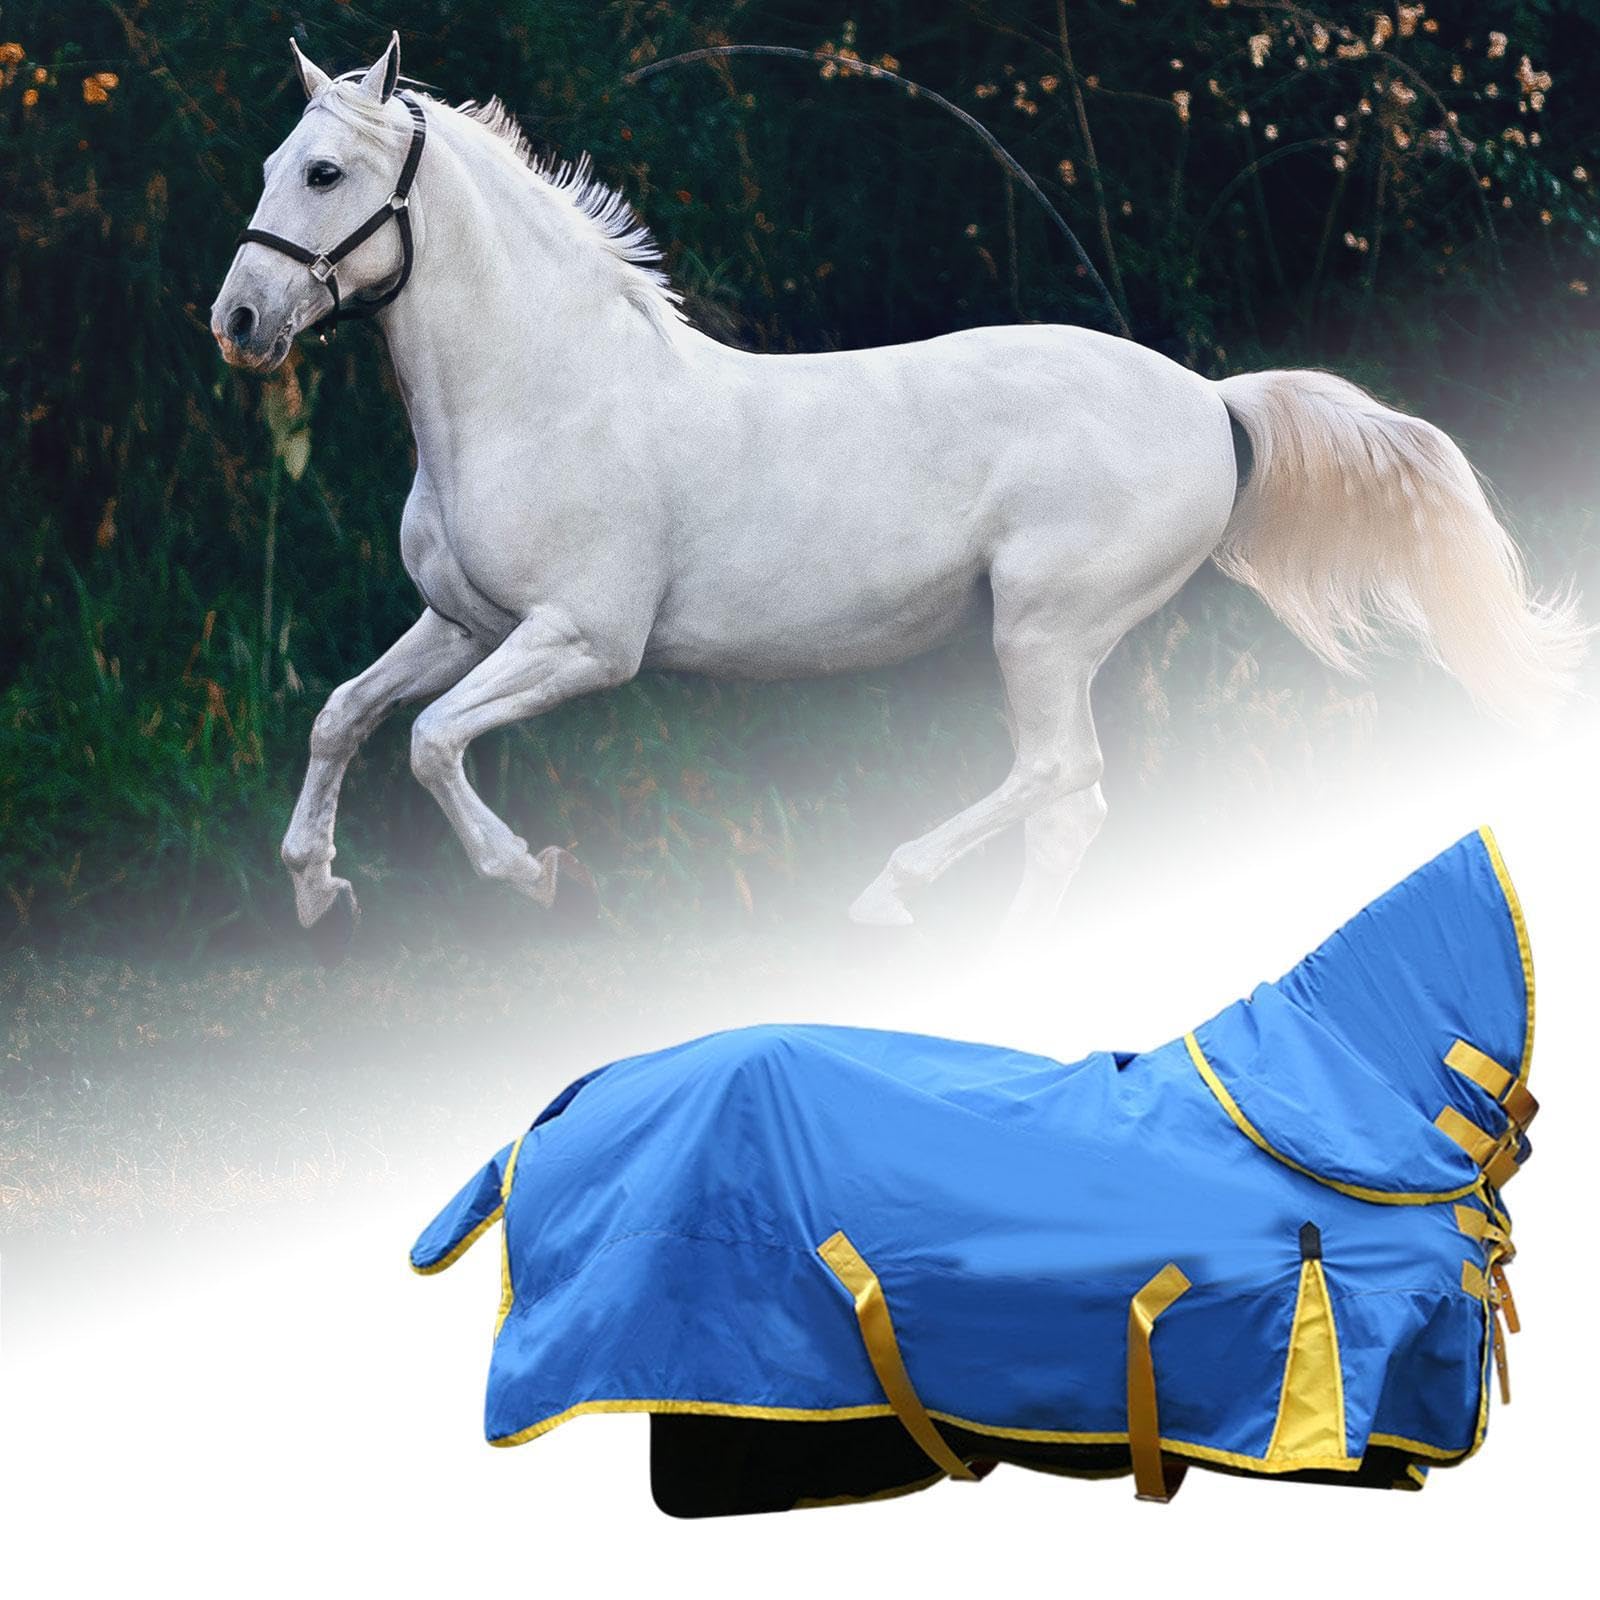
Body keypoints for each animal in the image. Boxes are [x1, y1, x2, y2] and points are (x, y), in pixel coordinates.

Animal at [211, 34, 1585, 937]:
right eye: (275, 160)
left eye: (324, 174)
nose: (237, 321)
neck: (542, 391)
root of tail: (1211, 404)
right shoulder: (463, 623)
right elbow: (345, 715)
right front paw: (315, 887)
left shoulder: (582, 641)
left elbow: (433, 744)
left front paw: (533, 873)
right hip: (1054, 641)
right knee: (1071, 804)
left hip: (1044, 628)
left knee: (1056, 778)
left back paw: (894, 894)